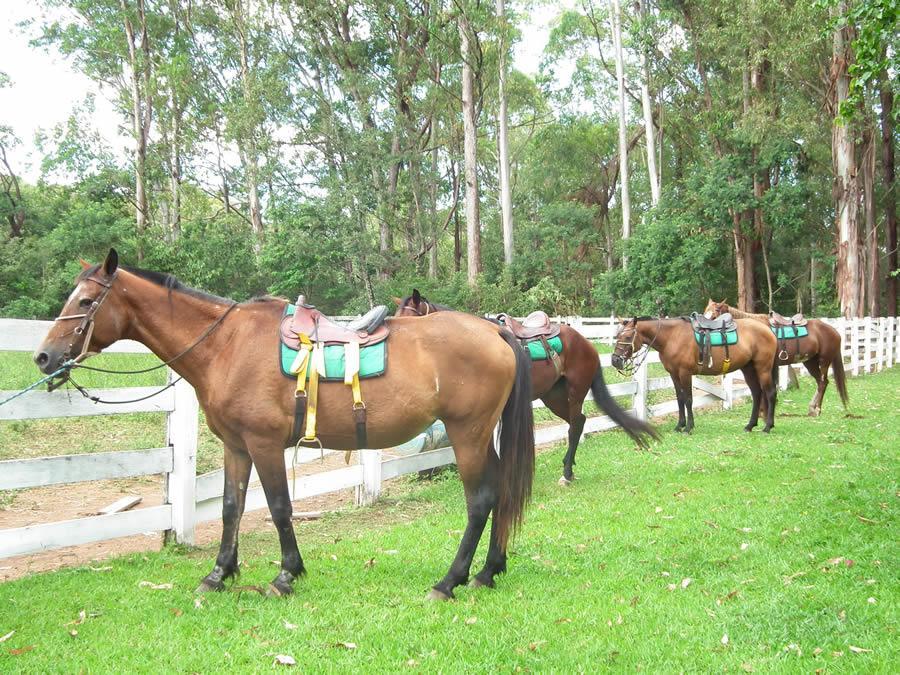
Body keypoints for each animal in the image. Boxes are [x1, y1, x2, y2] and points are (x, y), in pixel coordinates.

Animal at [37, 251, 536, 600]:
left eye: (85, 301)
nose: (43, 357)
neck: (225, 345)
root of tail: (493, 330)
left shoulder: (264, 444)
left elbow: (278, 507)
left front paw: (285, 575)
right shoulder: (236, 447)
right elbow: (231, 507)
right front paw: (219, 574)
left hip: (466, 435)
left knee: (480, 500)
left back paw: (449, 581)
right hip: (480, 437)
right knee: (500, 492)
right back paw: (488, 572)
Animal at [392, 290, 652, 486]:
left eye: (411, 319)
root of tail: (586, 343)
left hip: (576, 392)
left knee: (576, 425)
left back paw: (567, 474)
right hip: (553, 397)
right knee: (577, 422)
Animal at [612, 316, 780, 434]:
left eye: (628, 337)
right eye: (617, 336)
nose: (615, 360)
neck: (672, 337)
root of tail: (768, 329)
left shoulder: (685, 373)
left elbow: (688, 399)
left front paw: (689, 427)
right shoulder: (674, 374)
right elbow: (680, 399)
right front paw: (679, 425)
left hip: (763, 369)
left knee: (770, 393)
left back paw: (768, 426)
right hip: (749, 369)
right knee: (757, 393)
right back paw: (750, 425)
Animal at [704, 302, 852, 418]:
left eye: (716, 313)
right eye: (706, 311)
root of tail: (834, 331)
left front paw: (762, 412)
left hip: (824, 361)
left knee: (822, 383)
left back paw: (816, 410)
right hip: (810, 362)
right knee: (822, 382)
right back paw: (812, 409)